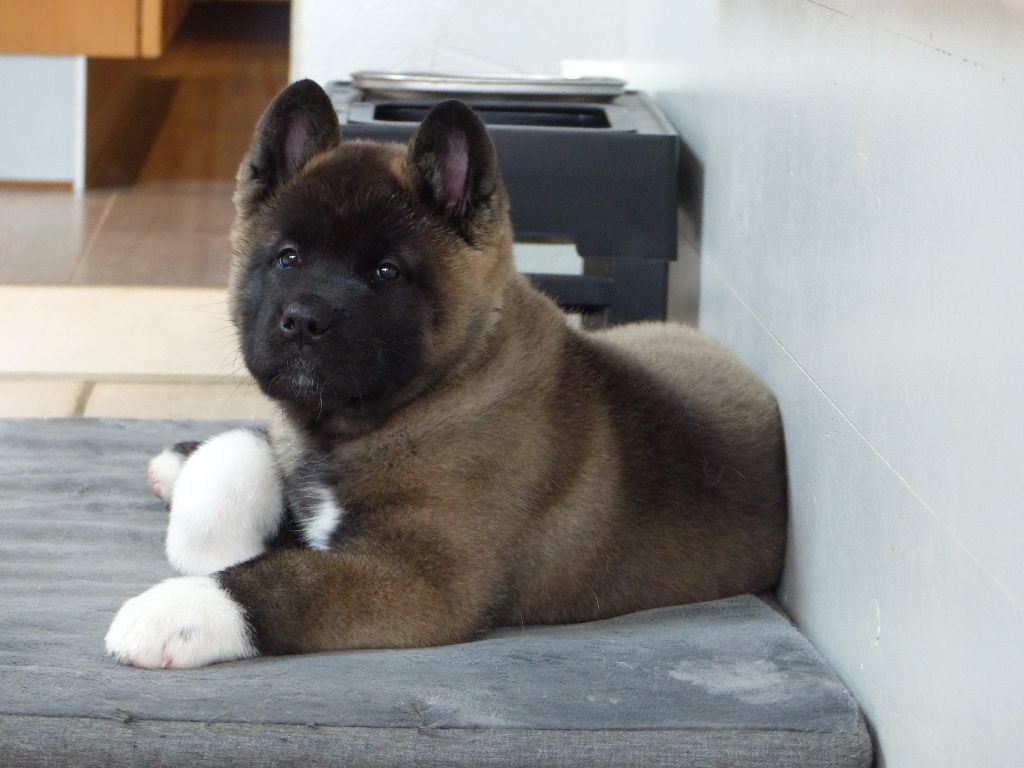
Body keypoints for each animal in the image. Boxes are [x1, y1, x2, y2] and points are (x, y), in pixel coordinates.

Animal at [105, 80, 787, 669]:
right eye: (288, 258)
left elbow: (287, 578)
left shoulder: (424, 581)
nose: (301, 322)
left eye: (385, 273)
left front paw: (181, 609)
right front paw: (203, 480)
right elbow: (250, 454)